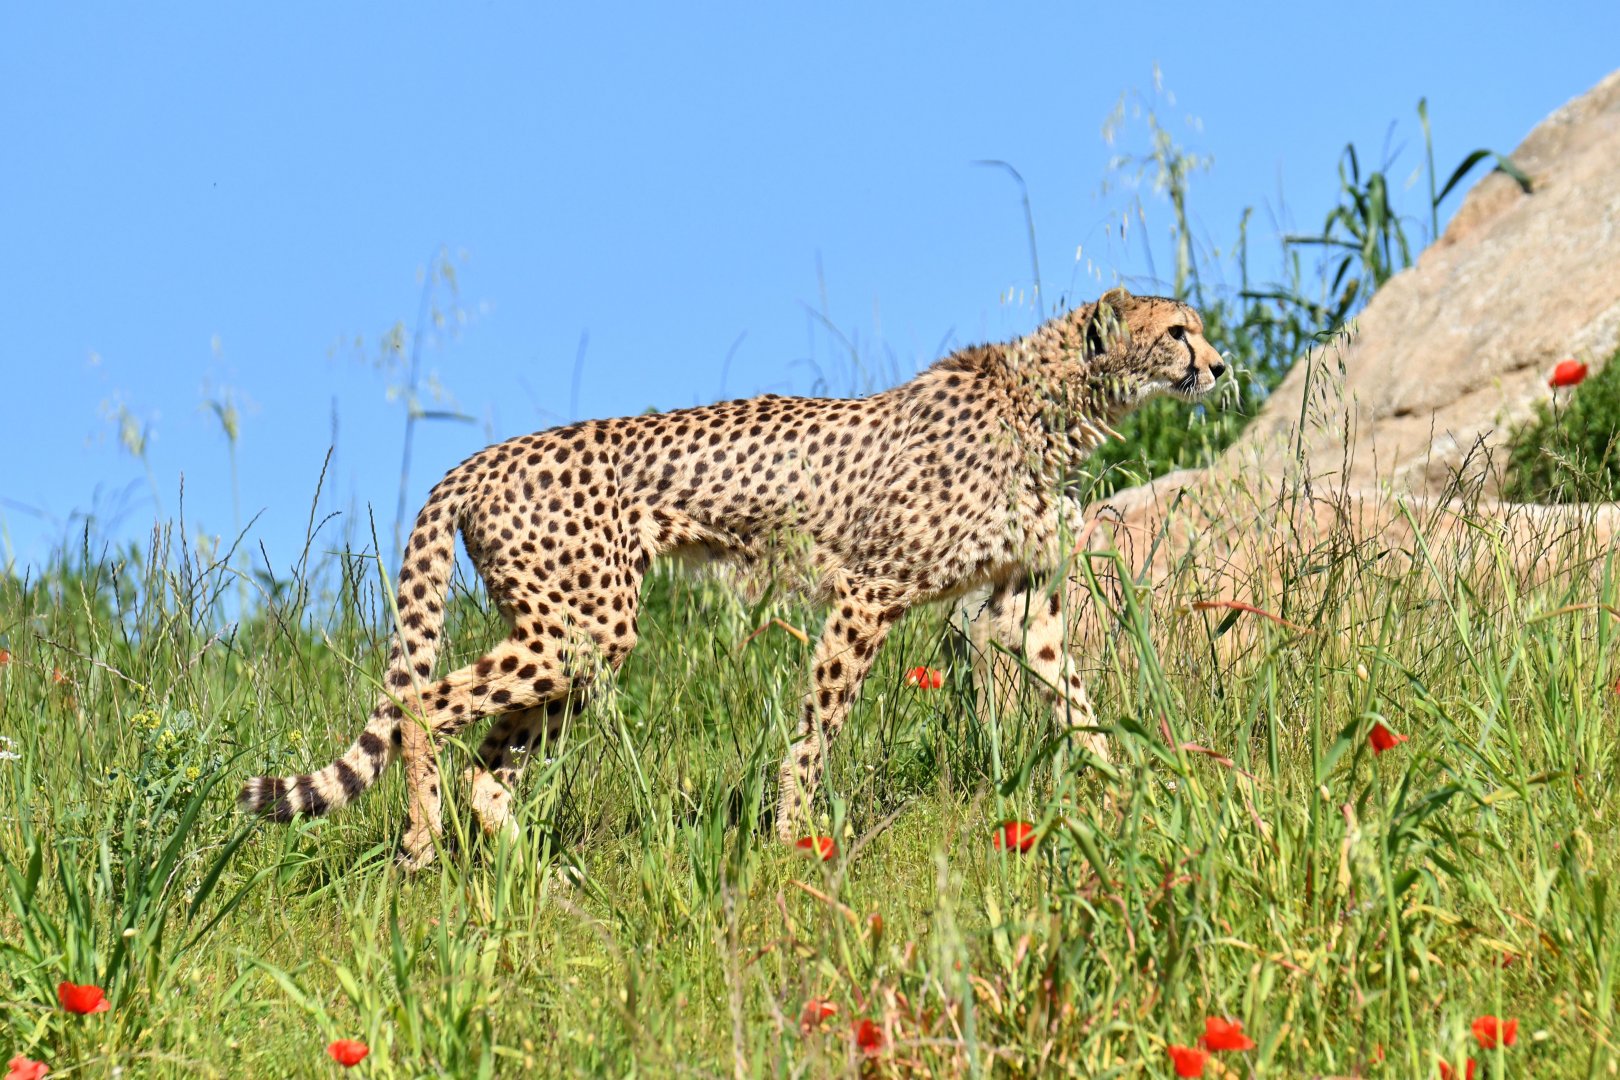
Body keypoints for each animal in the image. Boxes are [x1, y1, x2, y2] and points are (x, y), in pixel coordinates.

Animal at [239, 287, 1226, 867]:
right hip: (585, 627)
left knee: (489, 766)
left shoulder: (1025, 608)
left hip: (577, 644)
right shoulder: (866, 595)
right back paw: (419, 841)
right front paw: (792, 837)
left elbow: (1077, 701)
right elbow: (817, 729)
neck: (1050, 400)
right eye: (1177, 333)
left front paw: (1129, 786)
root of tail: (477, 459)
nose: (1219, 366)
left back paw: (543, 884)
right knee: (422, 702)